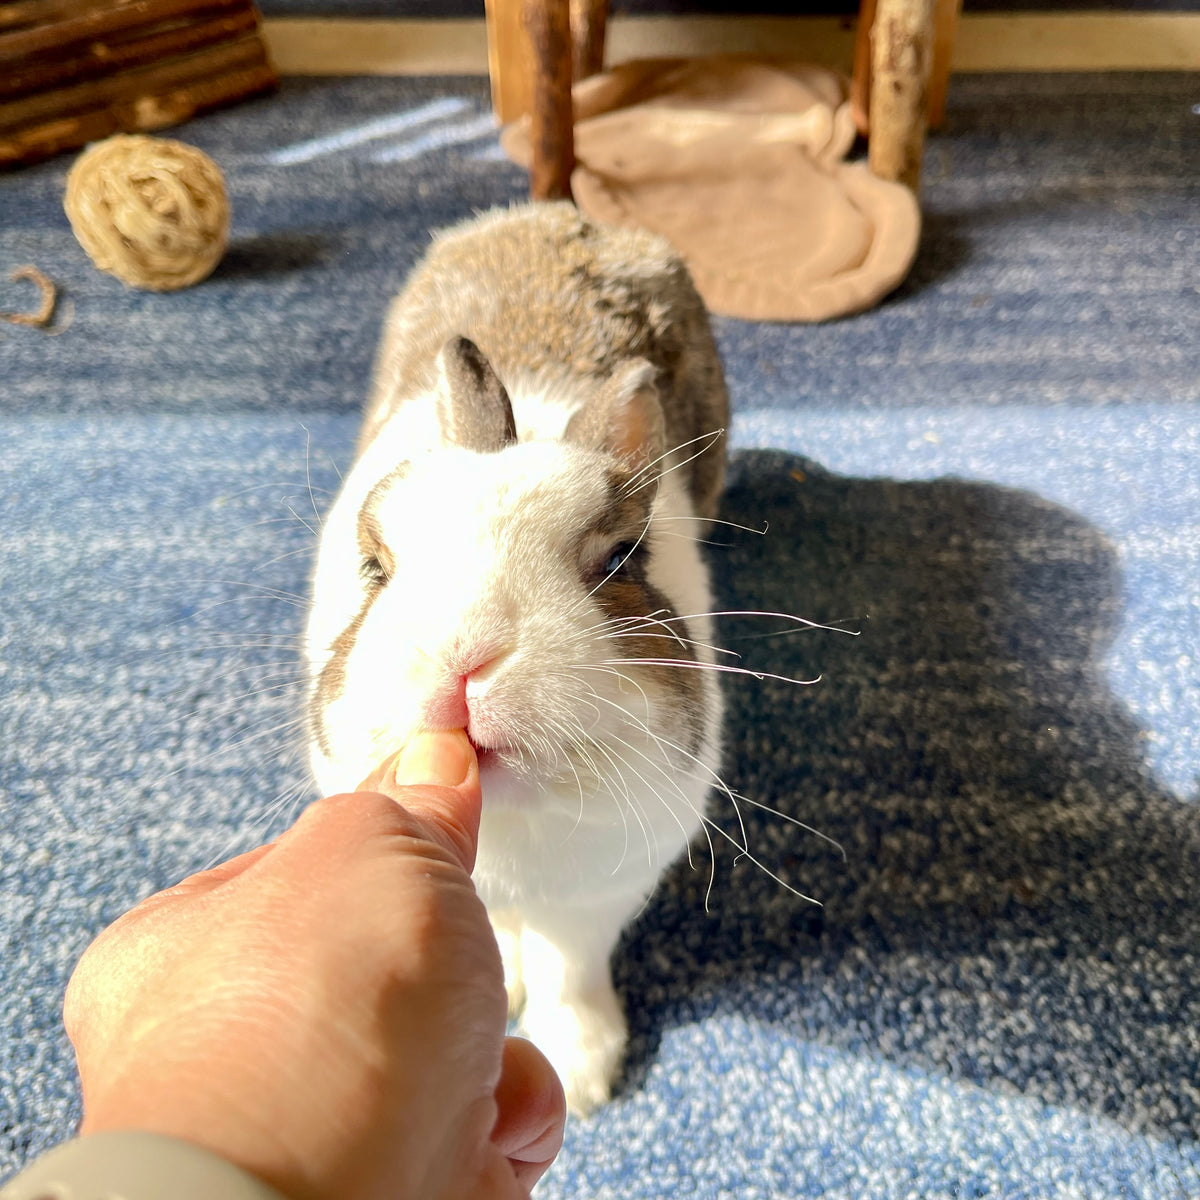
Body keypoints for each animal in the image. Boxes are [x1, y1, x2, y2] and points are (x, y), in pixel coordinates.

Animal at [305, 201, 729, 1113]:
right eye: (375, 567)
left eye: (618, 559)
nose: (465, 654)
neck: (519, 819)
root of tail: (551, 213)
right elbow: (503, 941)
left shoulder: (599, 897)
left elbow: (571, 970)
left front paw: (582, 1071)